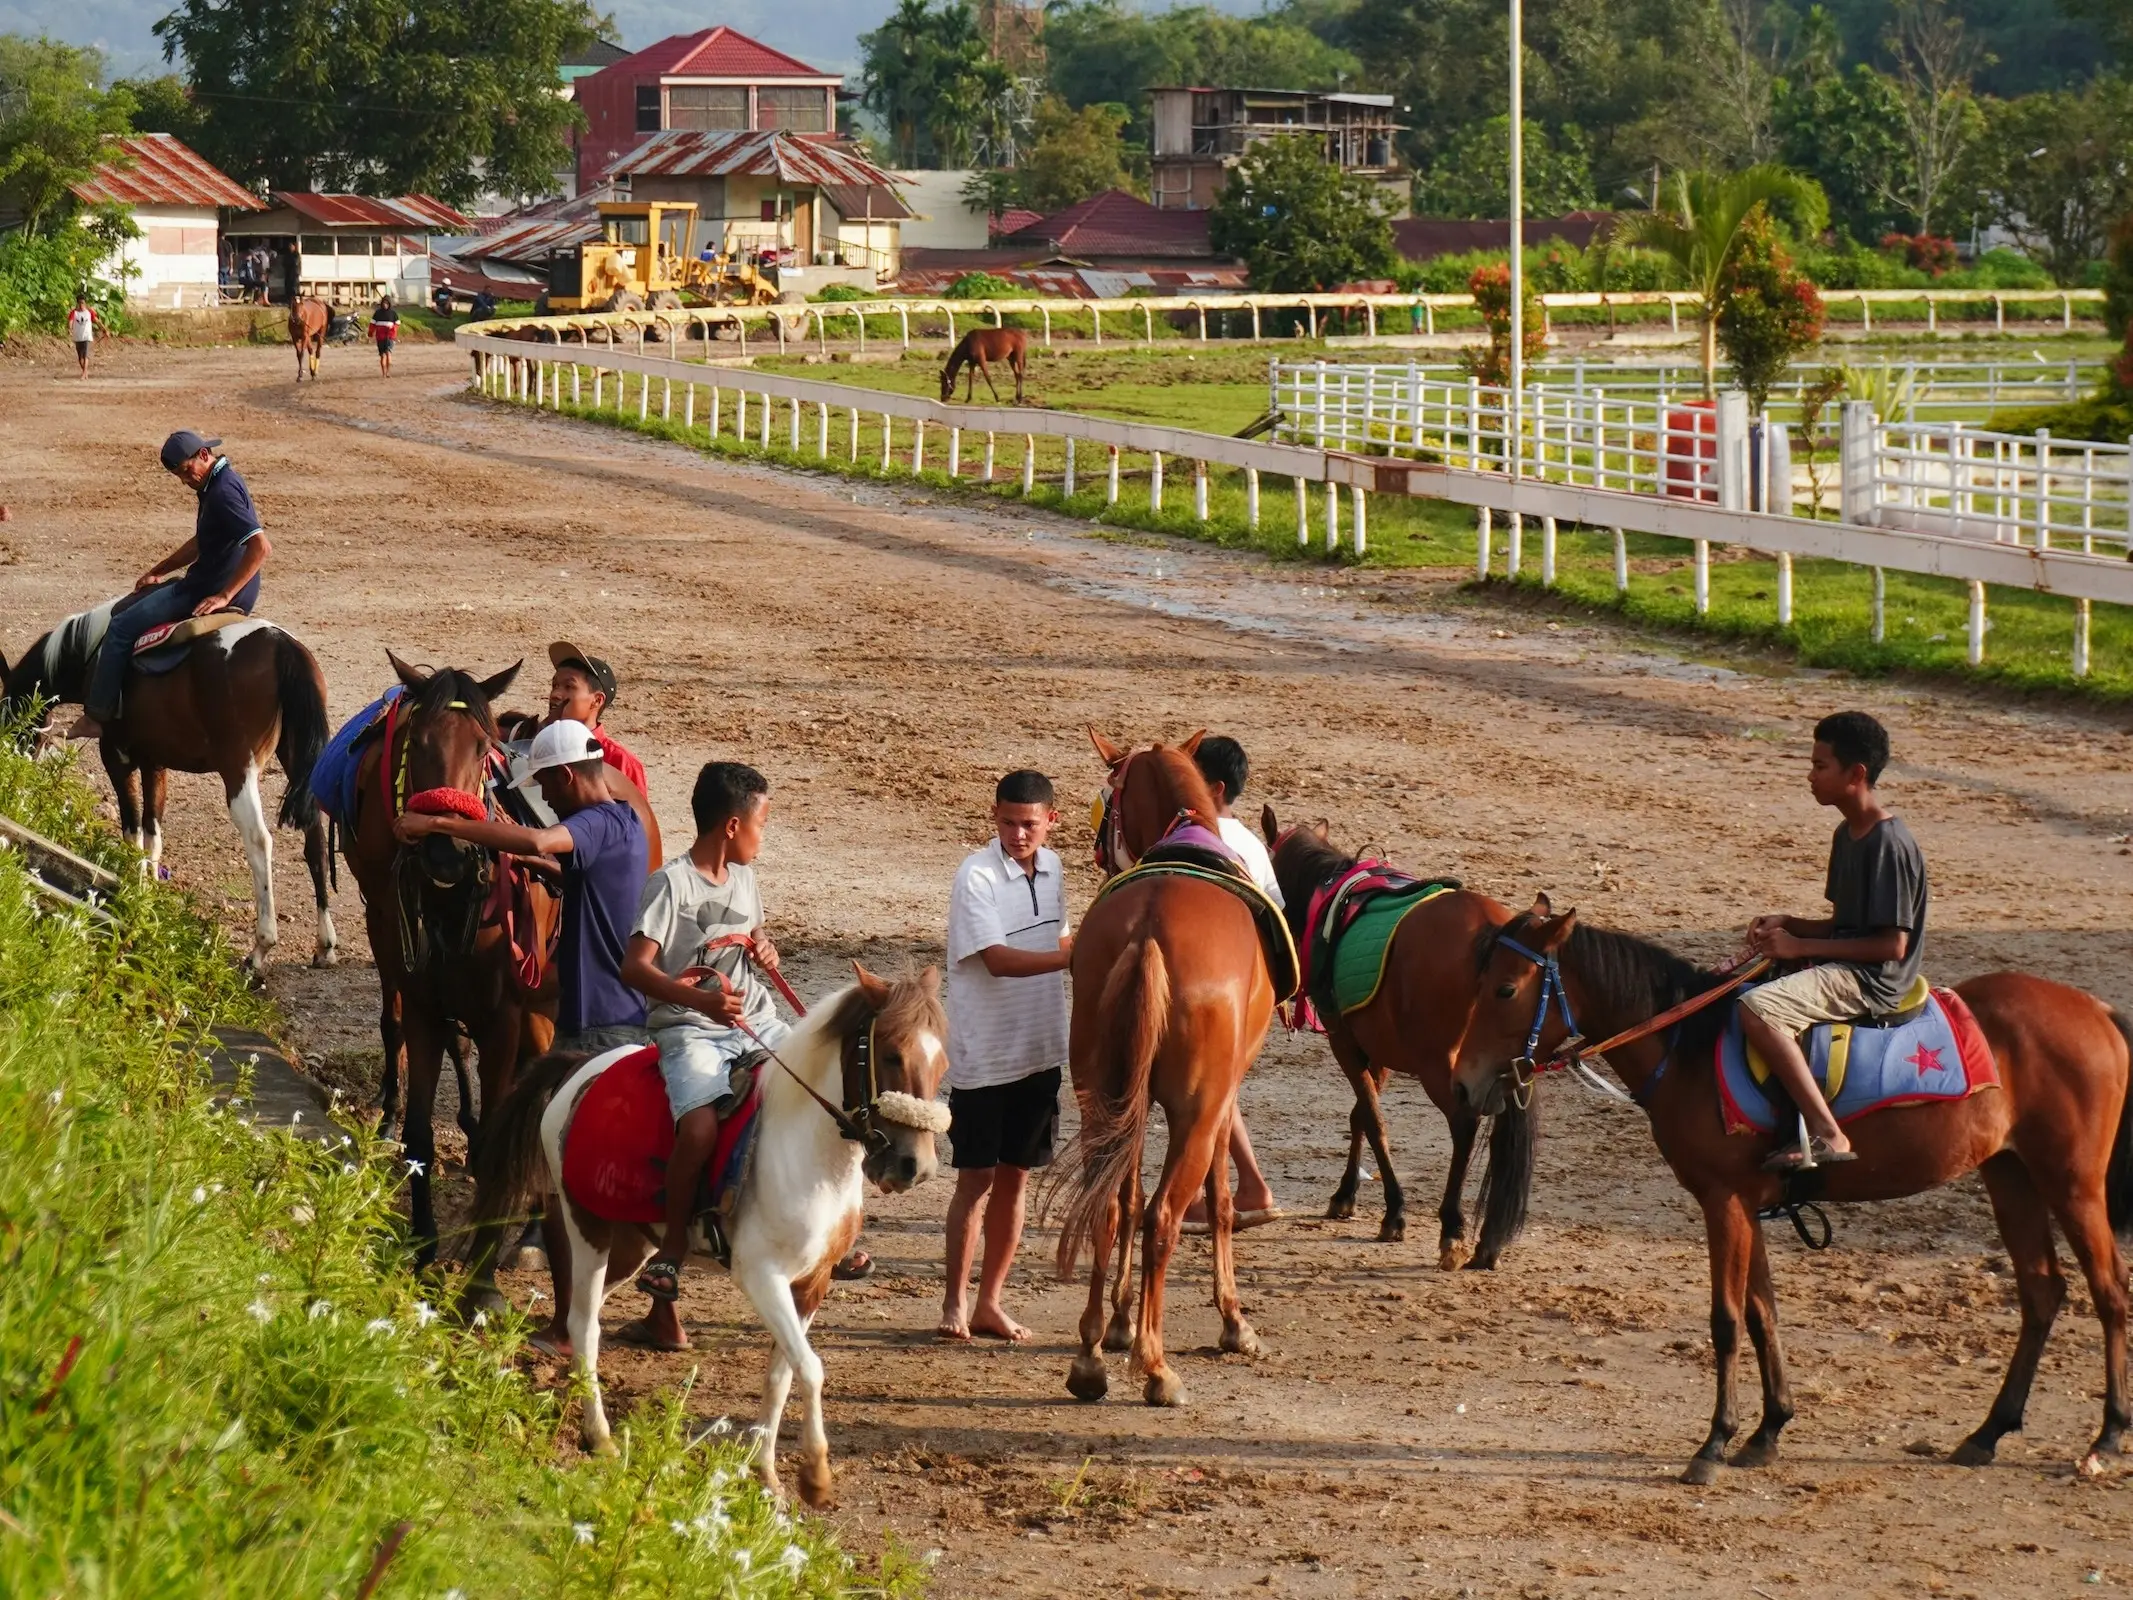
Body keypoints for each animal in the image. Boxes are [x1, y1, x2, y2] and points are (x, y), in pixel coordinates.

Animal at [3, 614, 332, 972]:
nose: (15, 761)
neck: (92, 654)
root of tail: (280, 644)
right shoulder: (154, 764)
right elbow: (152, 835)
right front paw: (148, 892)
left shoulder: (116, 757)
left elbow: (132, 831)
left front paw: (132, 888)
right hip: (300, 763)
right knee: (315, 841)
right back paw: (325, 945)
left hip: (238, 769)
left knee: (259, 841)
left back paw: (260, 948)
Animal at [479, 972, 955, 1510]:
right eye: (891, 1054)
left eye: (943, 1062)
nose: (915, 1166)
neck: (808, 1151)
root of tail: (579, 1071)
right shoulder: (762, 1277)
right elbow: (811, 1368)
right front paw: (815, 1475)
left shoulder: (811, 1284)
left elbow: (782, 1374)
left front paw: (766, 1475)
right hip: (589, 1226)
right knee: (585, 1325)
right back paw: (599, 1436)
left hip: (634, 1244)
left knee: (586, 1317)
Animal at [1053, 733, 1271, 1408]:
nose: (1100, 854)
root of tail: (1150, 930)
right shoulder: (1222, 1101)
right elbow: (1220, 1201)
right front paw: (1233, 1321)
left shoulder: (1132, 1099)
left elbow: (1124, 1195)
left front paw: (1119, 1323)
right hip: (1195, 1114)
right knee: (1164, 1218)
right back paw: (1155, 1367)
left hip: (1102, 1097)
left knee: (1109, 1205)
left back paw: (1091, 1356)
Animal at [1262, 819, 1535, 1271]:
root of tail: (1492, 933)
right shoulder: (1376, 1050)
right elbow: (1361, 1114)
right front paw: (1346, 1194)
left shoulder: (1344, 1041)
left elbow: (1373, 1120)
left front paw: (1393, 1211)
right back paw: (1488, 1242)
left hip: (1439, 1066)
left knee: (1464, 1124)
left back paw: (1452, 1227)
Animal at [1458, 904, 2133, 1493]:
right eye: (1480, 982)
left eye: (1506, 990)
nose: (1467, 1081)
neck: (1689, 1049)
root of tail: (2095, 1009)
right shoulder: (1746, 1205)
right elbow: (1763, 1314)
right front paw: (1768, 1430)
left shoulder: (1723, 1201)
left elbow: (1727, 1320)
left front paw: (1714, 1443)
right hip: (2011, 1174)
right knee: (2043, 1291)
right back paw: (1989, 1432)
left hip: (2071, 1182)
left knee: (2110, 1293)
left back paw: (2106, 1438)